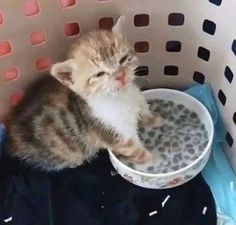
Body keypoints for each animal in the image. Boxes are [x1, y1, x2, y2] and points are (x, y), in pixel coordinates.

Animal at [5, 16, 162, 171]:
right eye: (100, 74)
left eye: (123, 59)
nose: (120, 75)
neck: (122, 97)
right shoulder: (114, 134)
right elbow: (138, 152)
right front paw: (155, 162)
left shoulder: (138, 100)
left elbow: (145, 113)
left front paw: (157, 120)